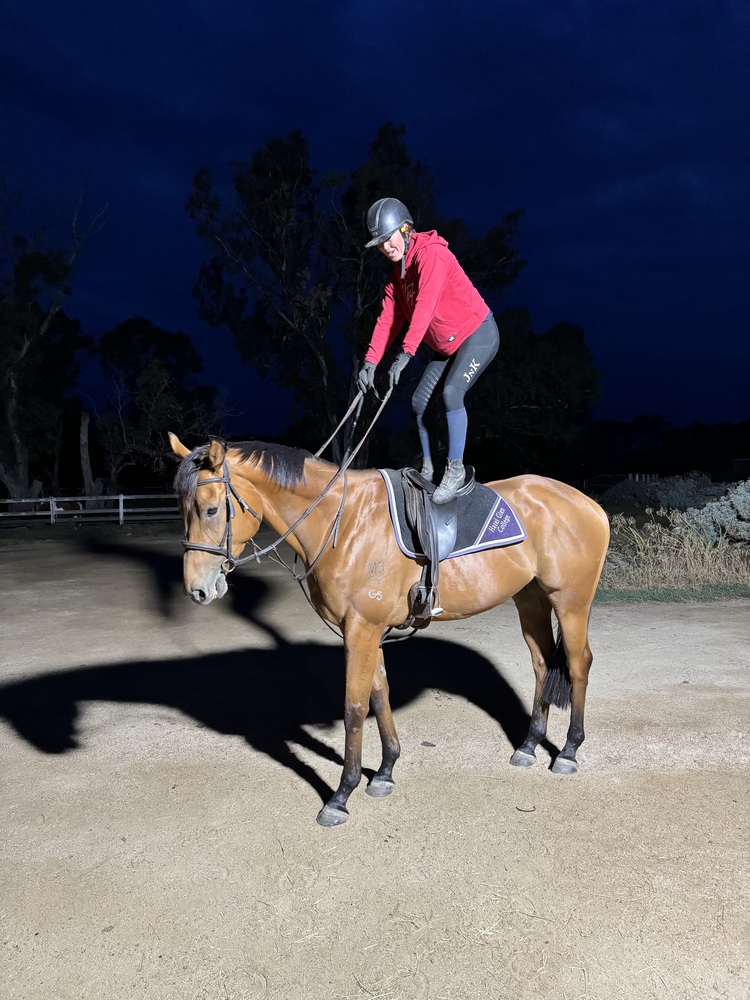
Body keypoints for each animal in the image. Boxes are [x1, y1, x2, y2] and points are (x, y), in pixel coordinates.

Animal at [169, 433, 610, 827]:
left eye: (211, 510)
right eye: (182, 508)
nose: (196, 589)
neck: (341, 521)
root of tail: (589, 505)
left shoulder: (361, 629)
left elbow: (354, 707)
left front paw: (341, 795)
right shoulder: (369, 630)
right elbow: (379, 695)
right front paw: (384, 772)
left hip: (570, 604)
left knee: (578, 664)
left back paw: (568, 751)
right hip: (531, 600)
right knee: (542, 665)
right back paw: (529, 745)